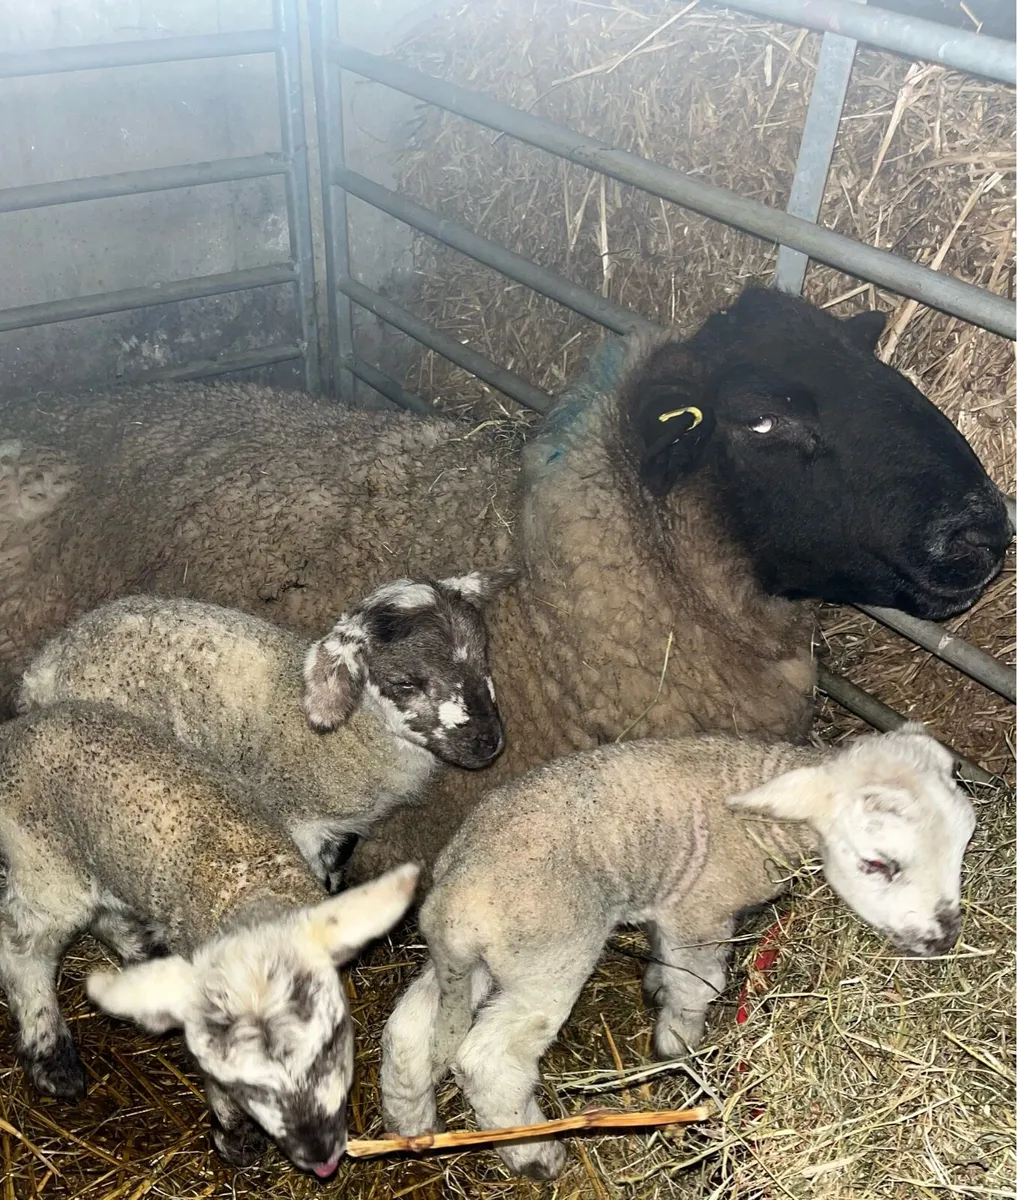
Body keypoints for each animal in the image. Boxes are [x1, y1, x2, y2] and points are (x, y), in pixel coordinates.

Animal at [0, 700, 419, 1177]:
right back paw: (51, 1056)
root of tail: (17, 730)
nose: (320, 1156)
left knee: (103, 913)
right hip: (43, 863)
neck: (258, 901)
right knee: (21, 950)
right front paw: (236, 1139)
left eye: (330, 1048)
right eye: (246, 1083)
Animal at [17, 570, 512, 892]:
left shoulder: (341, 831)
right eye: (405, 683)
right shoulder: (299, 823)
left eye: (483, 661)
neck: (354, 737)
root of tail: (47, 663)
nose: (489, 742)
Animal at [380, 724, 975, 1180]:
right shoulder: (700, 912)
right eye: (878, 863)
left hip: (470, 964)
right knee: (489, 1060)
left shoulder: (670, 904)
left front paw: (655, 990)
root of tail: (451, 902)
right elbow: (699, 983)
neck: (756, 823)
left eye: (965, 841)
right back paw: (534, 1153)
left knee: (408, 1031)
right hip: (547, 959)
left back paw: (411, 1126)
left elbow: (667, 959)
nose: (943, 938)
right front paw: (678, 1042)